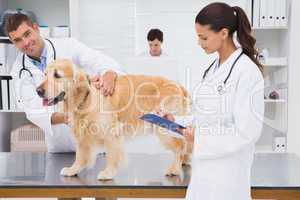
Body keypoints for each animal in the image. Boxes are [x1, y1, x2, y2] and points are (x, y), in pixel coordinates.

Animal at [36, 58, 191, 180]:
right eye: (45, 74)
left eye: (57, 75)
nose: (38, 91)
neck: (87, 98)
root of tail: (180, 87)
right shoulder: (83, 136)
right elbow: (80, 156)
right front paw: (73, 169)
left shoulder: (111, 133)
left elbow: (111, 155)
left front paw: (108, 173)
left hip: (164, 126)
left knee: (181, 146)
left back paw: (175, 169)